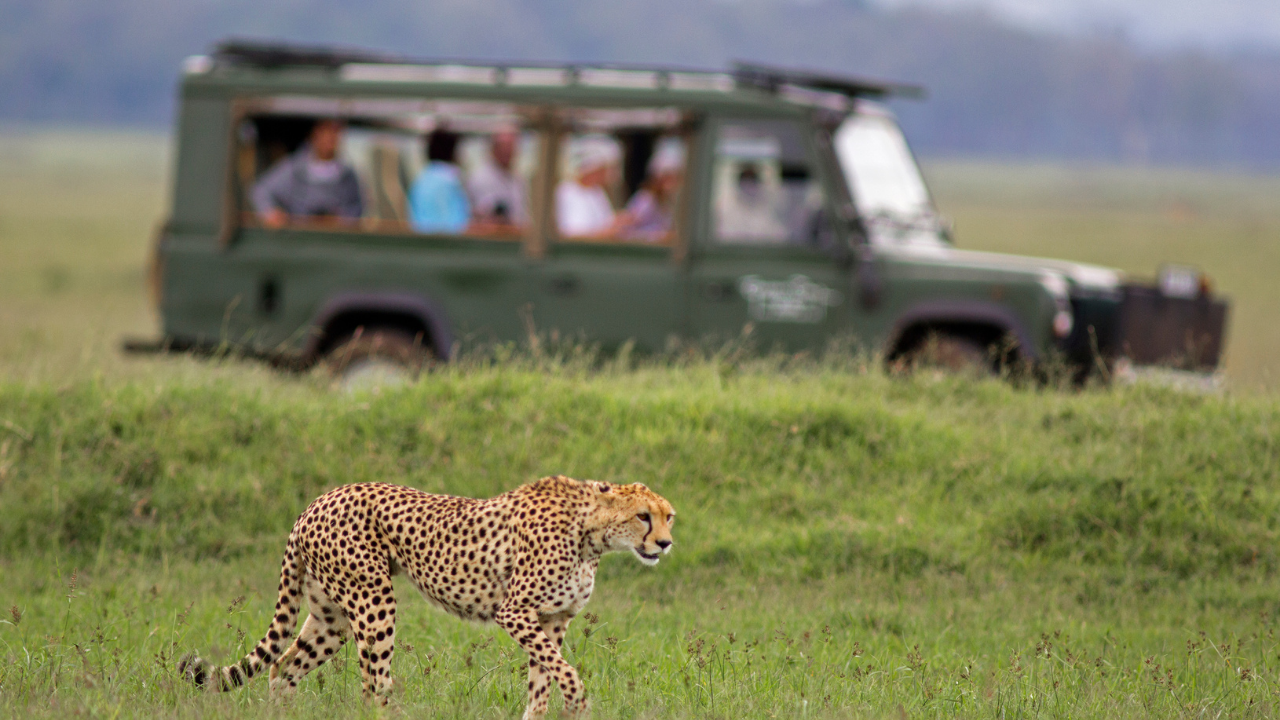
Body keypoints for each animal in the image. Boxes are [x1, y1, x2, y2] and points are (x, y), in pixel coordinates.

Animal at [178, 475, 675, 719]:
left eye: (668, 516)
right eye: (643, 516)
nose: (666, 544)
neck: (593, 534)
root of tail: (316, 502)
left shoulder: (552, 621)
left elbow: (542, 683)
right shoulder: (515, 612)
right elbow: (566, 674)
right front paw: (579, 704)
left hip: (331, 616)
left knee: (282, 669)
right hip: (373, 600)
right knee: (372, 685)